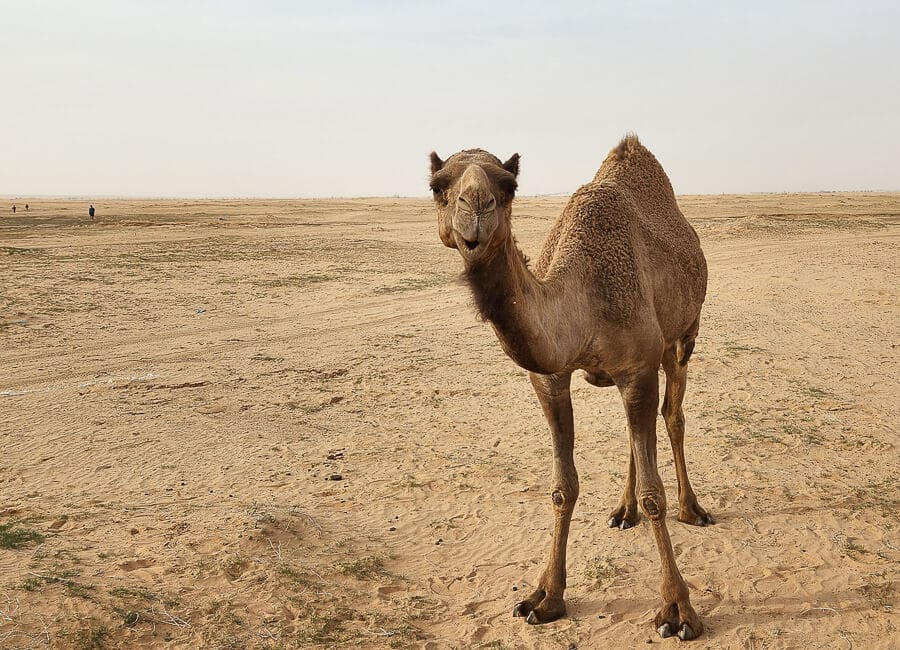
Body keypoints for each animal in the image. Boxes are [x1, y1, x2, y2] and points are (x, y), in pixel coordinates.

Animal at [428, 135, 711, 641]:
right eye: (438, 186)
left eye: (508, 185)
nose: (475, 207)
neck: (583, 299)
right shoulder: (550, 378)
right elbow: (563, 486)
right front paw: (544, 597)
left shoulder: (638, 367)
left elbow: (654, 494)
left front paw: (677, 610)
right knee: (638, 434)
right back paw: (622, 512)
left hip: (682, 337)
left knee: (673, 417)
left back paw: (691, 508)